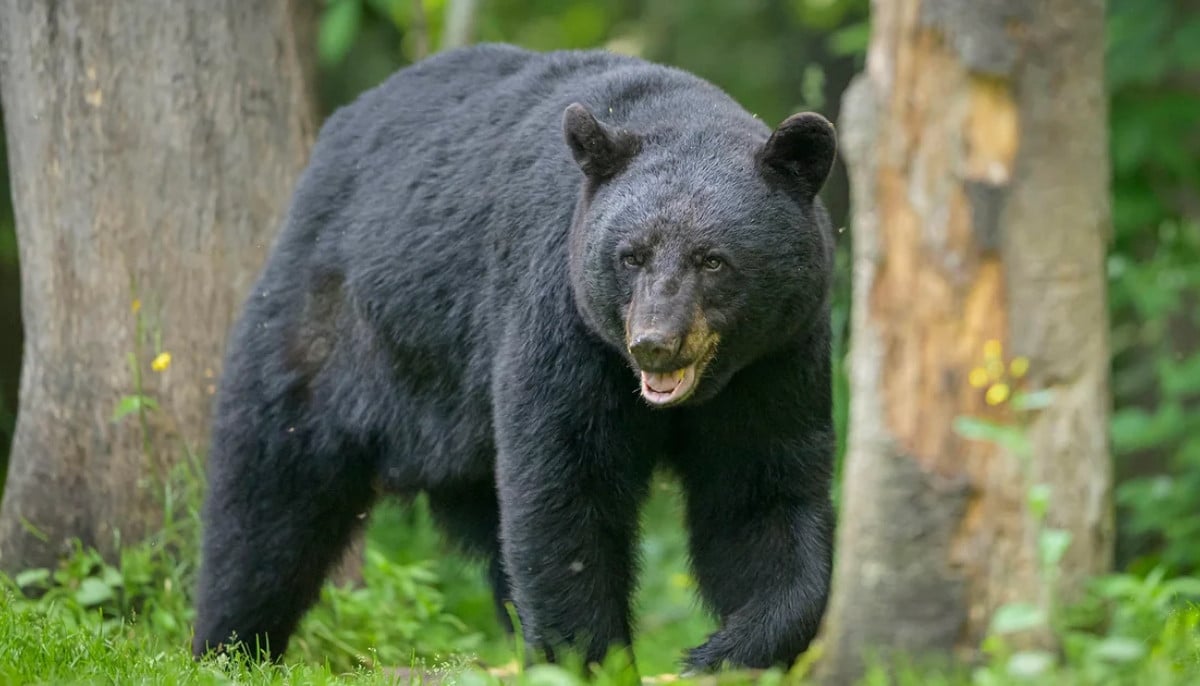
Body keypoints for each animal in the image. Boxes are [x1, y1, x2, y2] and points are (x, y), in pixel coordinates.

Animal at [191, 42, 838, 674]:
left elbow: (760, 495)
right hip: (329, 331)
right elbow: (564, 489)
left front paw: (728, 650)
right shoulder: (563, 321)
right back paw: (230, 646)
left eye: (713, 260)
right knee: (268, 496)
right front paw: (591, 659)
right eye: (631, 255)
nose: (654, 342)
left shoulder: (775, 359)